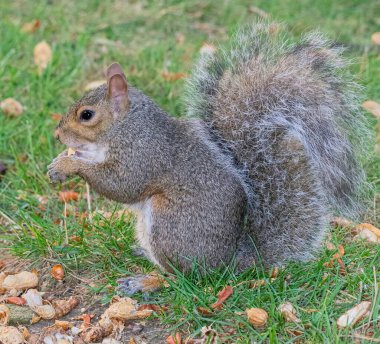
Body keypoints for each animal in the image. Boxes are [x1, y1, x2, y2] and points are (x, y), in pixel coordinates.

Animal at [46, 22, 368, 292]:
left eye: (87, 115)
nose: (58, 135)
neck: (126, 126)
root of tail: (227, 264)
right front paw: (60, 159)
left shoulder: (144, 154)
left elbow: (122, 185)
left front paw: (69, 163)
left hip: (170, 225)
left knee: (182, 277)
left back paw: (145, 282)